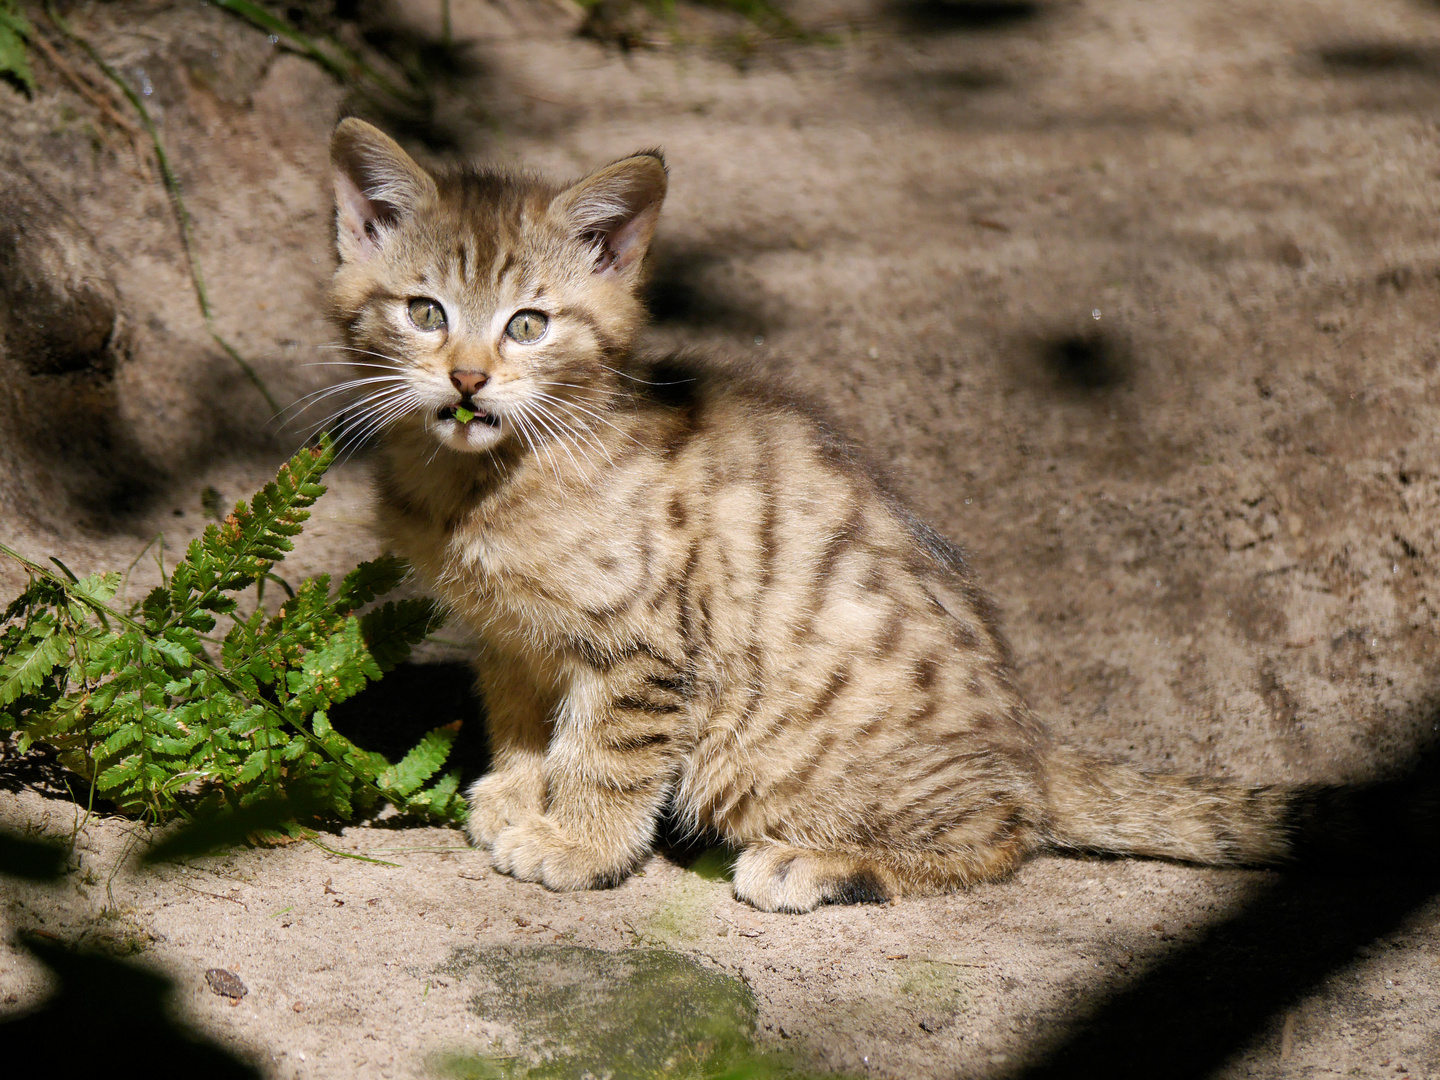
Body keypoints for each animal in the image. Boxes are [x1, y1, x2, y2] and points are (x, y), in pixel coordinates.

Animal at [331, 118, 1313, 915]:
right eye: (426, 312)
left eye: (529, 325)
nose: (467, 379)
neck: (480, 483)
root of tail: (1029, 740)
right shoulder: (510, 637)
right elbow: (520, 720)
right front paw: (515, 795)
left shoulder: (645, 644)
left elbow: (607, 754)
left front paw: (577, 845)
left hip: (772, 760)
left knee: (1009, 828)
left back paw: (820, 863)